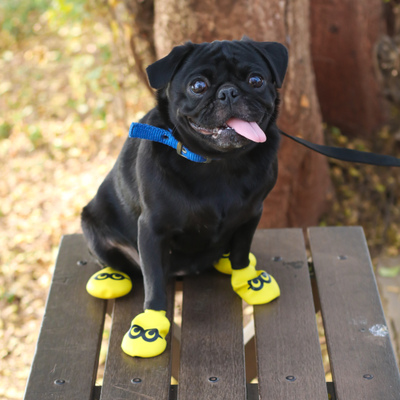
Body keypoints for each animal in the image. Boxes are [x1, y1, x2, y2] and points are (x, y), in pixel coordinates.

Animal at [81, 36, 288, 356]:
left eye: (256, 80)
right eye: (198, 86)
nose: (228, 92)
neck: (219, 164)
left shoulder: (252, 214)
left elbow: (241, 251)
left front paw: (246, 280)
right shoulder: (151, 230)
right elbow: (154, 283)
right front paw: (150, 326)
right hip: (92, 227)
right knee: (117, 262)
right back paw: (111, 279)